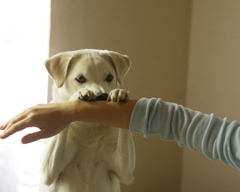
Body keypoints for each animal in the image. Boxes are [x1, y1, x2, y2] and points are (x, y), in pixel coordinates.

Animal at [39, 49, 135, 192]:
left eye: (109, 77)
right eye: (80, 78)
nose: (102, 96)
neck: (89, 124)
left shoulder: (124, 171)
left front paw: (120, 93)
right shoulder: (48, 172)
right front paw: (80, 94)